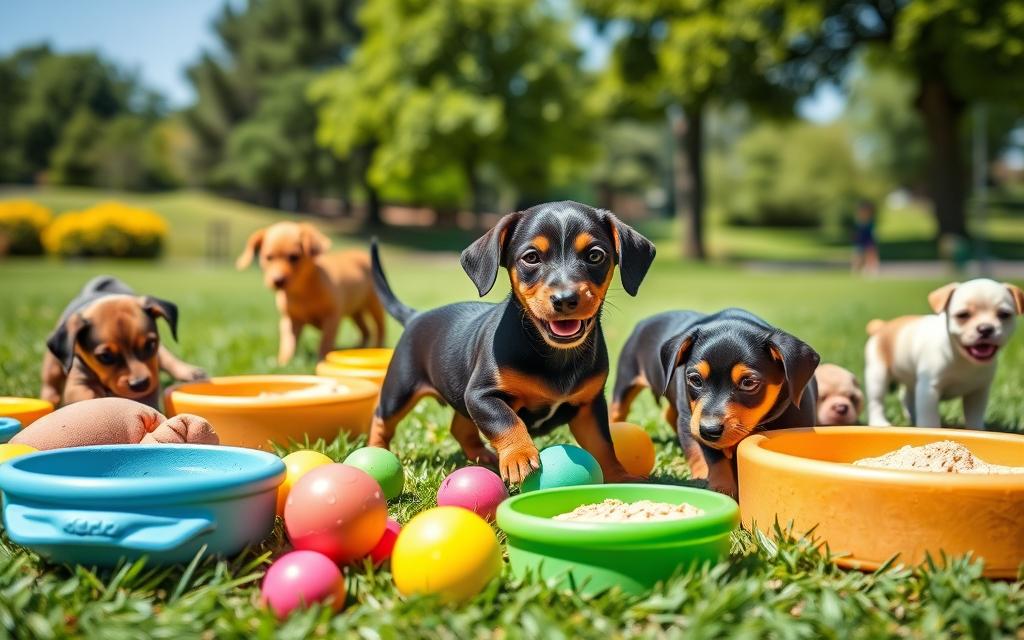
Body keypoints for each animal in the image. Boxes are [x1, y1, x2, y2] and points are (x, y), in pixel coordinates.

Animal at [40, 274, 204, 409]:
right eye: (105, 356)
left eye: (150, 345)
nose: (140, 384)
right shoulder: (77, 383)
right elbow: (89, 397)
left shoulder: (151, 381)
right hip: (53, 364)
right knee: (50, 381)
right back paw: (49, 399)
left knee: (166, 356)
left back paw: (191, 372)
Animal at [234, 222, 385, 364]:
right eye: (268, 257)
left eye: (294, 257)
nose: (278, 281)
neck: (303, 292)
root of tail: (362, 253)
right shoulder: (290, 319)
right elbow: (288, 341)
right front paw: (283, 361)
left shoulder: (332, 316)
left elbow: (325, 341)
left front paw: (321, 358)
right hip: (356, 310)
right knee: (365, 330)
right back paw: (359, 347)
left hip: (374, 304)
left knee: (380, 328)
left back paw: (377, 347)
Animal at [368, 201, 655, 481]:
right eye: (531, 257)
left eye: (595, 255)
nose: (565, 299)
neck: (554, 353)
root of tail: (416, 316)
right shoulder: (481, 394)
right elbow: (505, 419)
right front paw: (519, 456)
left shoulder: (589, 406)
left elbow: (603, 445)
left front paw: (620, 475)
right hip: (400, 389)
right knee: (382, 418)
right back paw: (376, 452)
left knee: (460, 427)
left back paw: (483, 456)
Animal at [610, 307, 819, 497]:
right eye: (695, 379)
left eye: (748, 383)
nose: (709, 430)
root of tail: (645, 321)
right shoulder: (692, 420)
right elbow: (711, 456)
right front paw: (721, 487)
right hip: (626, 379)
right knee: (618, 411)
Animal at [864, 276, 1024, 425]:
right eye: (963, 315)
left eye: (1004, 315)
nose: (985, 328)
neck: (961, 357)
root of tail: (882, 326)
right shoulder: (929, 390)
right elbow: (929, 418)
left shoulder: (978, 392)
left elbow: (975, 416)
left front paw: (977, 430)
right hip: (878, 374)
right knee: (876, 401)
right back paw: (879, 422)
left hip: (910, 381)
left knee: (906, 397)